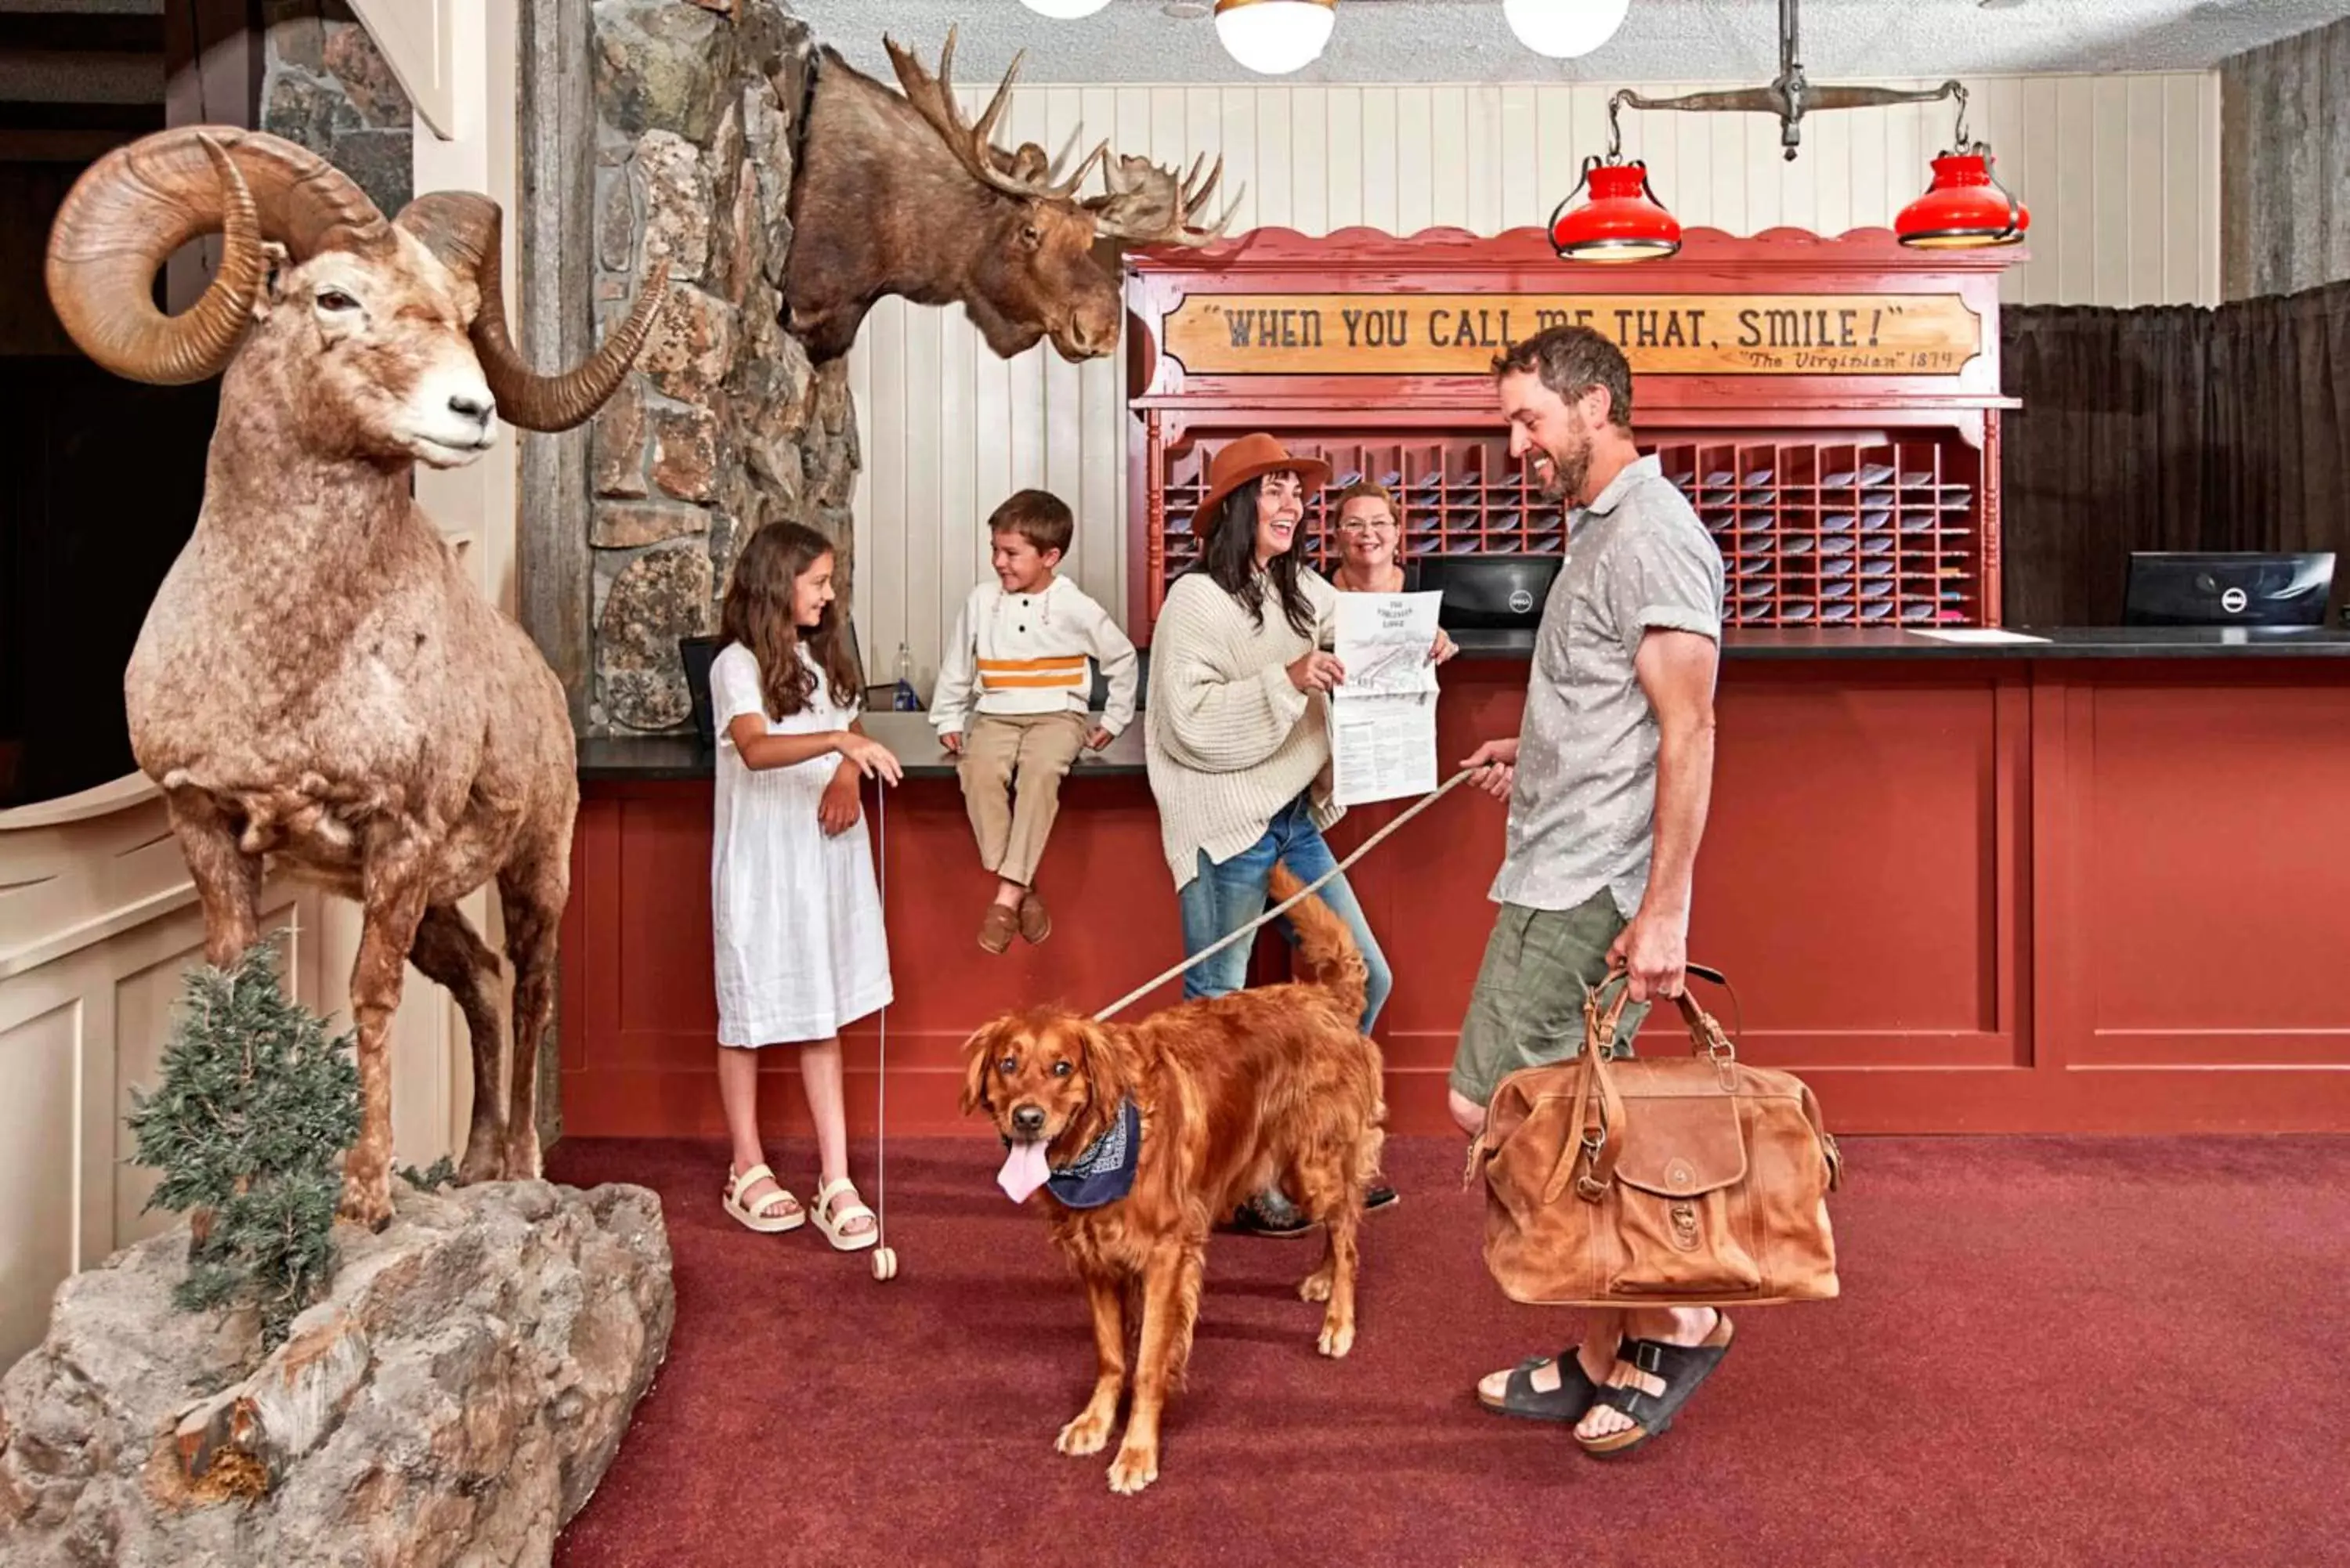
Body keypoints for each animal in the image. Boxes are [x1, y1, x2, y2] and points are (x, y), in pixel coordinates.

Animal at [48, 128, 672, 1231]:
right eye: (333, 297)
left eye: (464, 315)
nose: (471, 410)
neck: (286, 669)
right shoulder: (207, 829)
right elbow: (239, 993)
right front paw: (231, 1203)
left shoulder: (401, 839)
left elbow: (369, 994)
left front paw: (366, 1194)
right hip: (438, 909)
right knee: (481, 983)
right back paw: (470, 1167)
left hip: (532, 872)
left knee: (531, 989)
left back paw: (520, 1163)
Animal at [959, 869, 1382, 1494]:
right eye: (1008, 1065)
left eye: (1062, 1068)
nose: (1027, 1118)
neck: (1100, 1144)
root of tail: (1327, 998)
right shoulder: (1097, 1261)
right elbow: (1113, 1355)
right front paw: (1095, 1422)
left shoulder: (1166, 1256)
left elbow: (1149, 1361)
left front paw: (1137, 1451)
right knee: (1338, 1225)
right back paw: (1324, 1280)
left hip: (1314, 1164)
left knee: (1349, 1229)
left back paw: (1339, 1320)